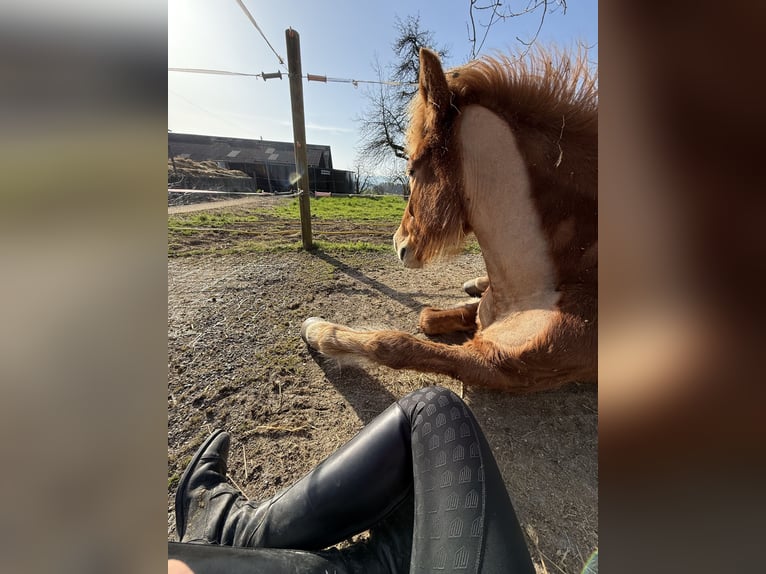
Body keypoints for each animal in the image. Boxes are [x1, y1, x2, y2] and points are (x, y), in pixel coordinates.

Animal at [301, 47, 597, 393]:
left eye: (412, 169)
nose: (398, 243)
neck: (534, 288)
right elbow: (427, 316)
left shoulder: (493, 365)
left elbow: (393, 344)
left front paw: (317, 330)